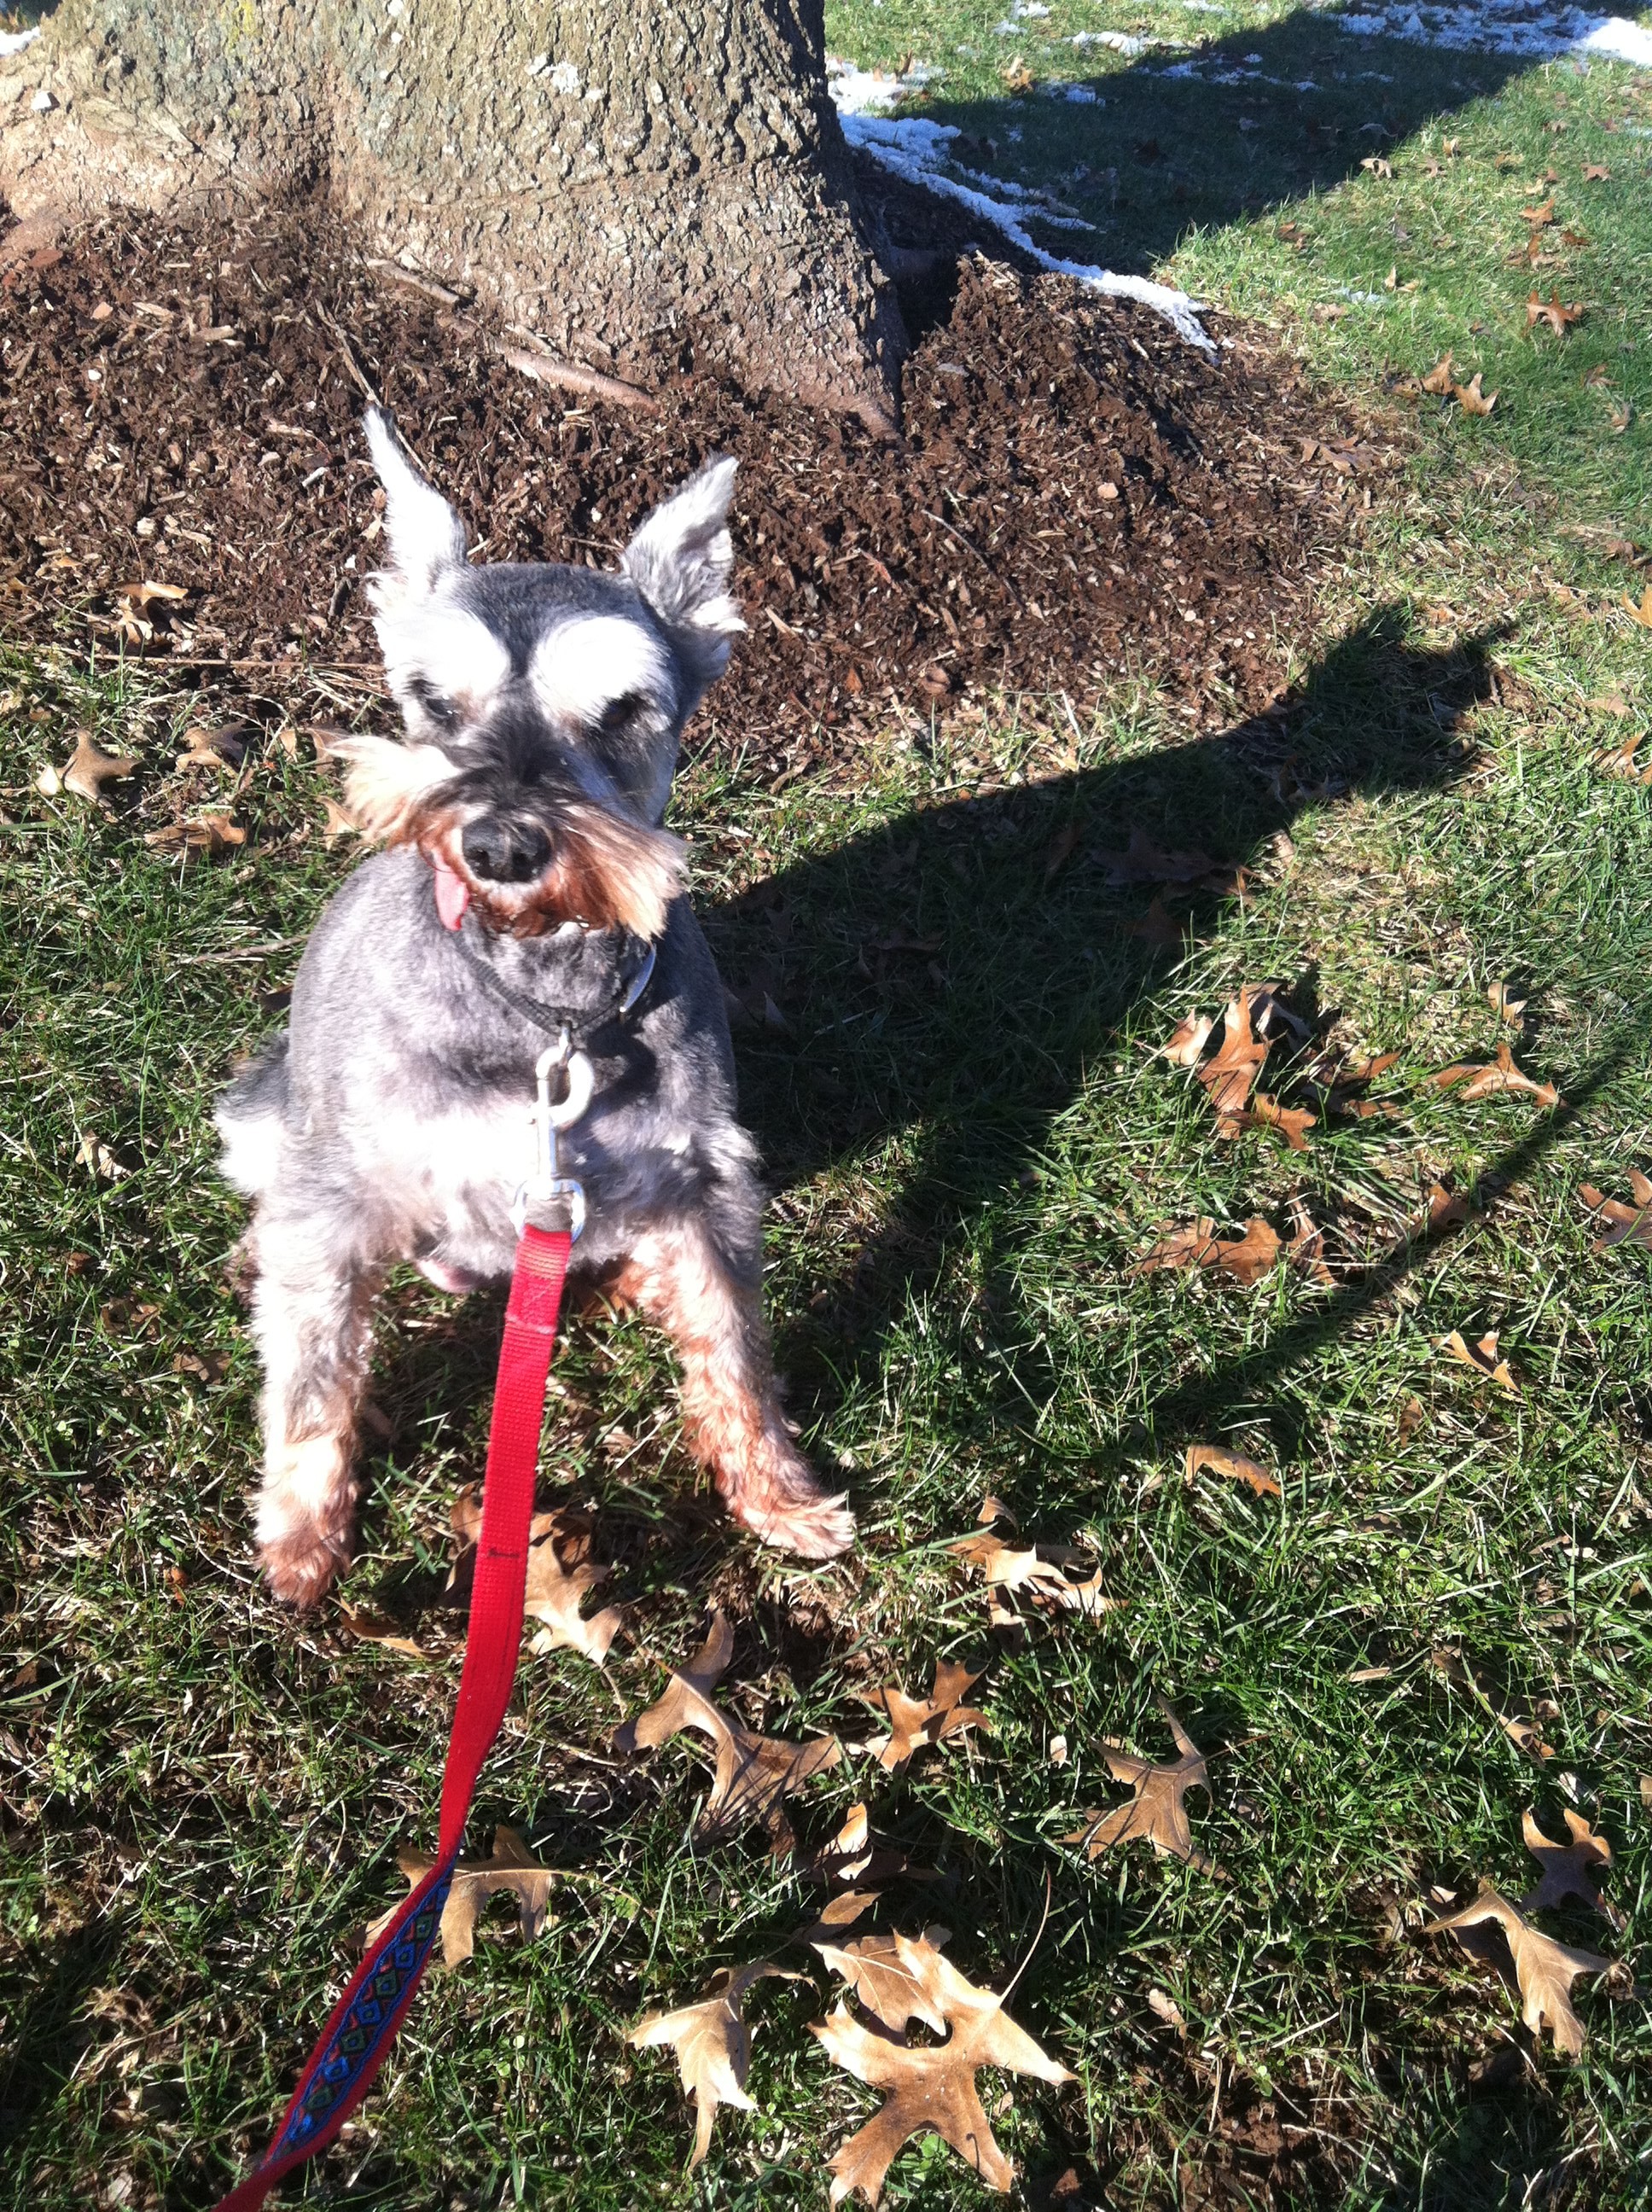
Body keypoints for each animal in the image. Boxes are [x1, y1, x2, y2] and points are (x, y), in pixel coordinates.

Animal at [216, 408, 854, 1606]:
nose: (502, 844)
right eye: (431, 699)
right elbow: (312, 1375)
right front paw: (301, 1538)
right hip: (265, 1123)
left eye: (623, 708)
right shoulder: (336, 1200)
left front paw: (778, 1496)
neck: (544, 1005)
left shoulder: (704, 1178)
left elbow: (734, 1346)